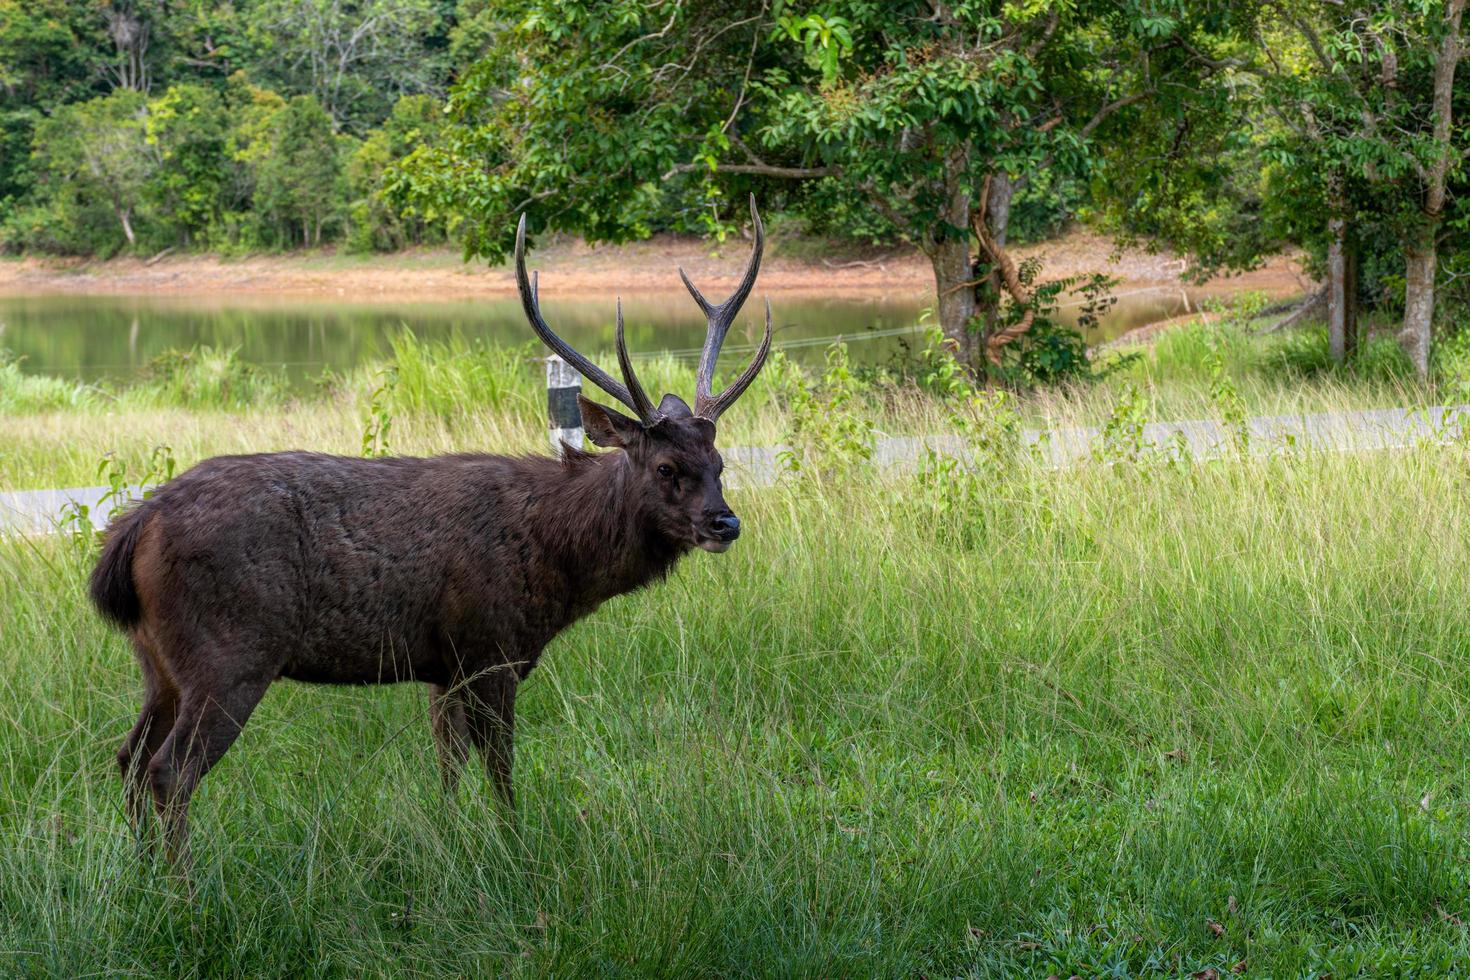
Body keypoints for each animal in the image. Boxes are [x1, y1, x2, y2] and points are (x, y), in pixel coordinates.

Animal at [85, 196, 776, 858]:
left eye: (719, 463)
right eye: (665, 467)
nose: (725, 522)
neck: (559, 563)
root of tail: (133, 529)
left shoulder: (443, 666)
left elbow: (449, 767)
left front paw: (449, 839)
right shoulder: (490, 647)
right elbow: (500, 768)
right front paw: (516, 848)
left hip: (157, 660)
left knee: (128, 757)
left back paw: (144, 872)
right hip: (228, 653)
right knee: (169, 771)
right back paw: (184, 883)